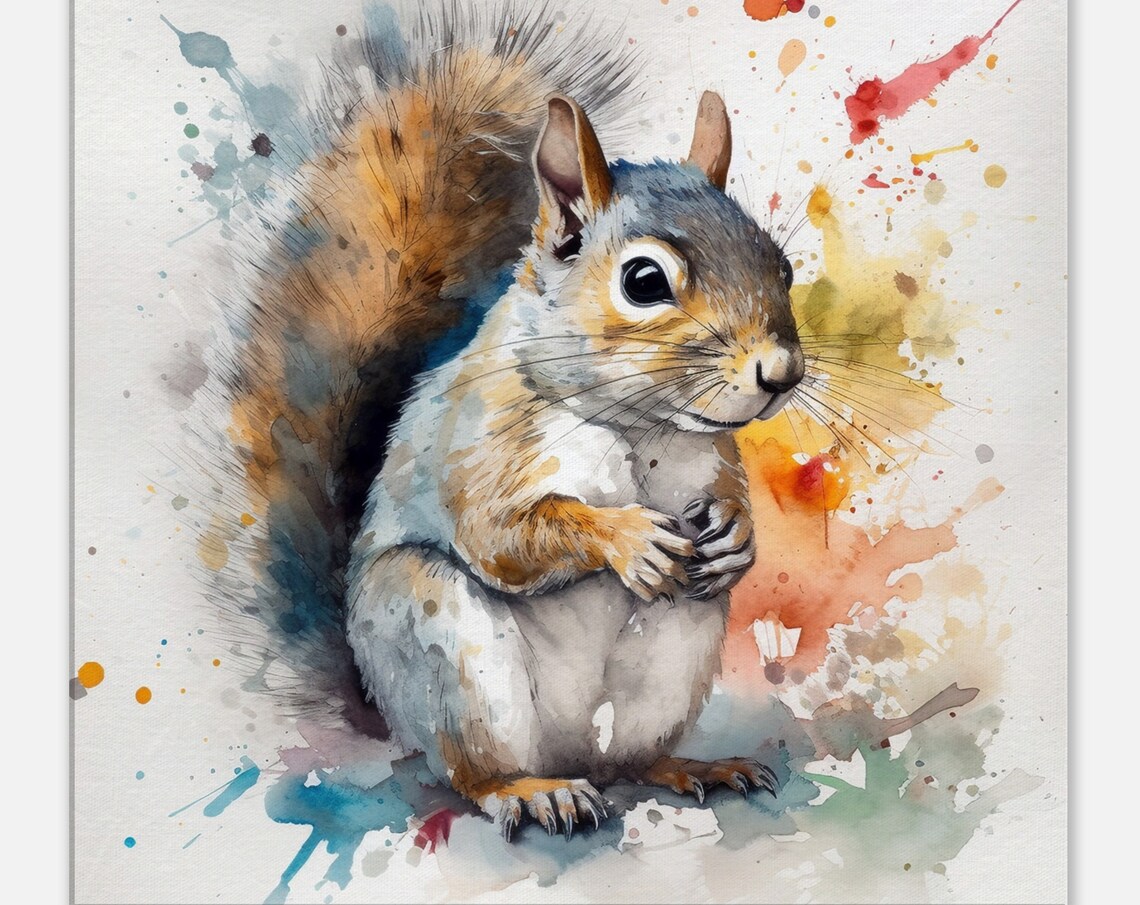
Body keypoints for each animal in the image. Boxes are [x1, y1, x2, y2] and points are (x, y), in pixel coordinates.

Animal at [201, 2, 804, 840]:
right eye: (643, 281)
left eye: (781, 265)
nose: (781, 373)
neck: (638, 430)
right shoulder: (483, 441)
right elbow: (500, 535)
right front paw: (626, 537)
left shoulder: (710, 458)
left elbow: (728, 505)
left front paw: (738, 537)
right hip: (446, 648)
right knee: (477, 771)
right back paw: (530, 791)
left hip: (675, 652)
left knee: (630, 758)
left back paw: (690, 766)